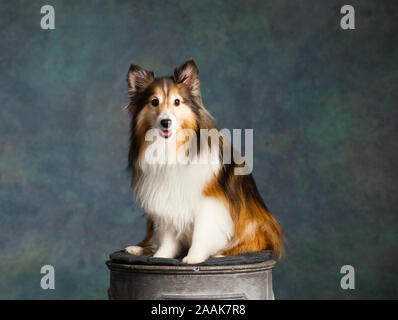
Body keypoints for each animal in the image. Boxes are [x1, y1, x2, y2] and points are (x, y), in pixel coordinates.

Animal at [124, 58, 282, 264]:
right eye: (154, 102)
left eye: (177, 102)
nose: (166, 122)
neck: (171, 147)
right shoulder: (166, 199)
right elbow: (167, 237)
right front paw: (161, 257)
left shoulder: (209, 203)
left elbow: (202, 232)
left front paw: (194, 257)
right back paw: (138, 249)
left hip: (255, 227)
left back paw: (220, 253)